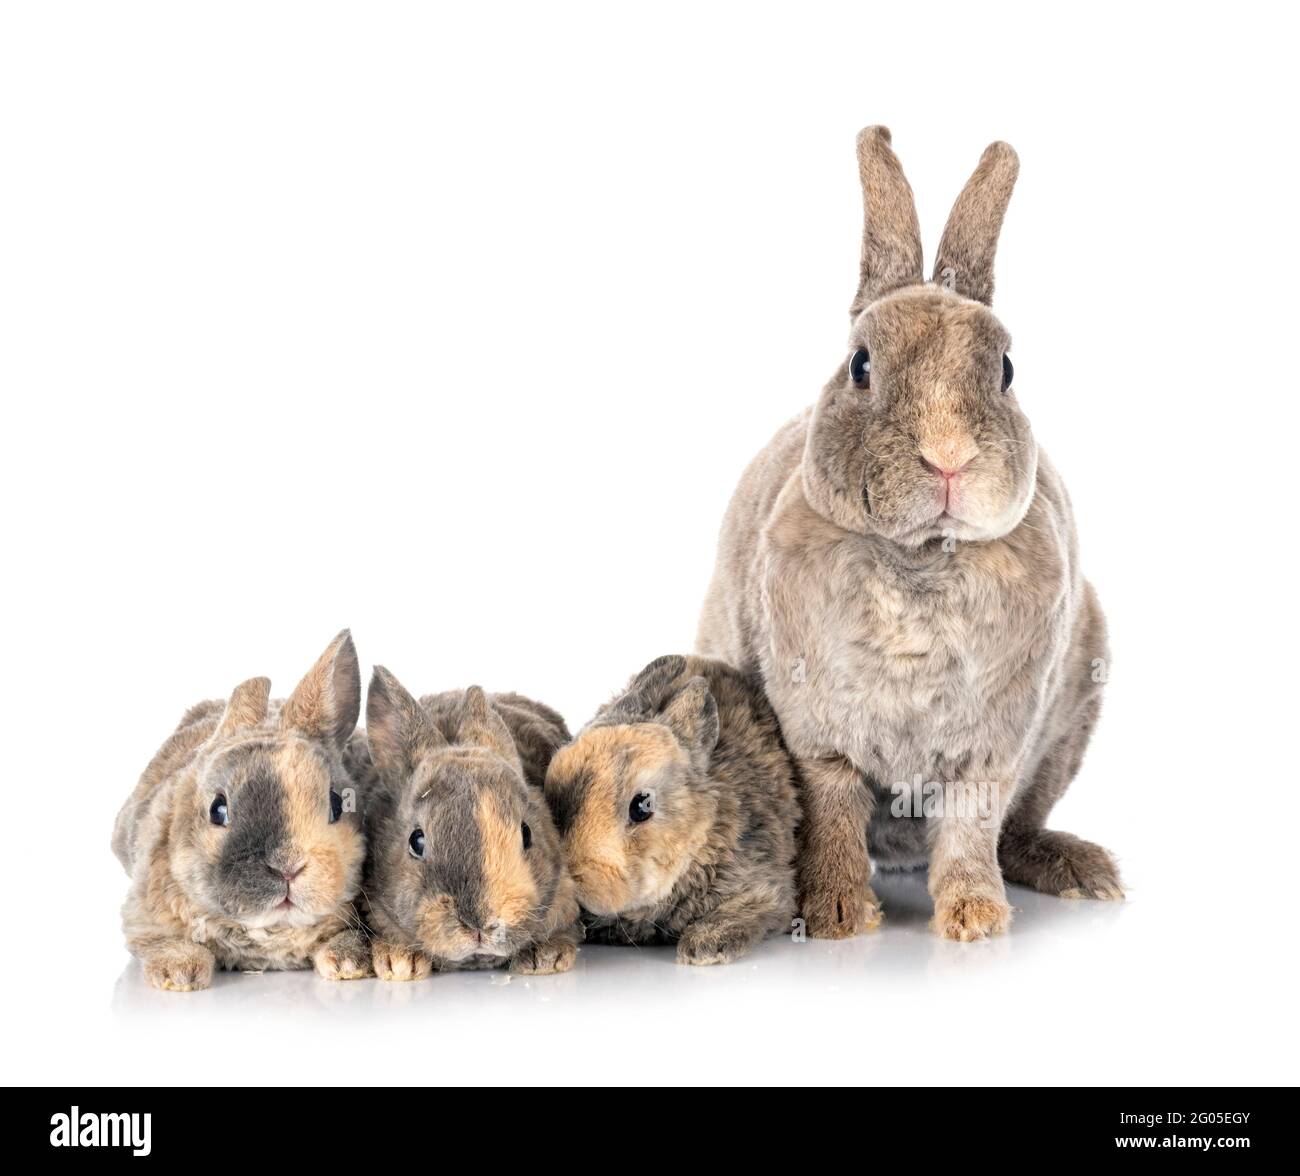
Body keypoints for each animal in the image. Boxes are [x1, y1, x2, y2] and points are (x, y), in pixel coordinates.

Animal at [111, 630, 372, 990]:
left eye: (336, 804)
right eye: (218, 809)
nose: (287, 867)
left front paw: (349, 963)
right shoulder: (142, 918)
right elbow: (162, 942)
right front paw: (179, 974)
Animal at [696, 127, 1121, 943]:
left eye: (1007, 369)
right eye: (860, 364)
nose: (948, 454)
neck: (922, 554)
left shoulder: (989, 749)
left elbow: (971, 827)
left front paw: (976, 920)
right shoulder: (817, 736)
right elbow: (831, 809)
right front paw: (835, 914)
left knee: (1016, 829)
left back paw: (1079, 871)